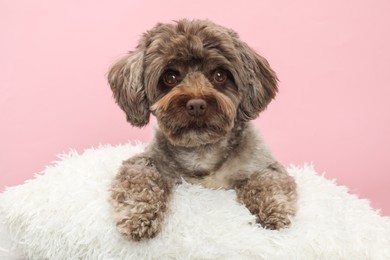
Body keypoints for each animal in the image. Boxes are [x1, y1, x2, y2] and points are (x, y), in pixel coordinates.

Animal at [106, 18, 296, 242]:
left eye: (219, 75)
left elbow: (266, 181)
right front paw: (138, 214)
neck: (202, 151)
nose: (196, 104)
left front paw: (274, 210)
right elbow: (140, 180)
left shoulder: (264, 165)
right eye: (170, 77)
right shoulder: (145, 162)